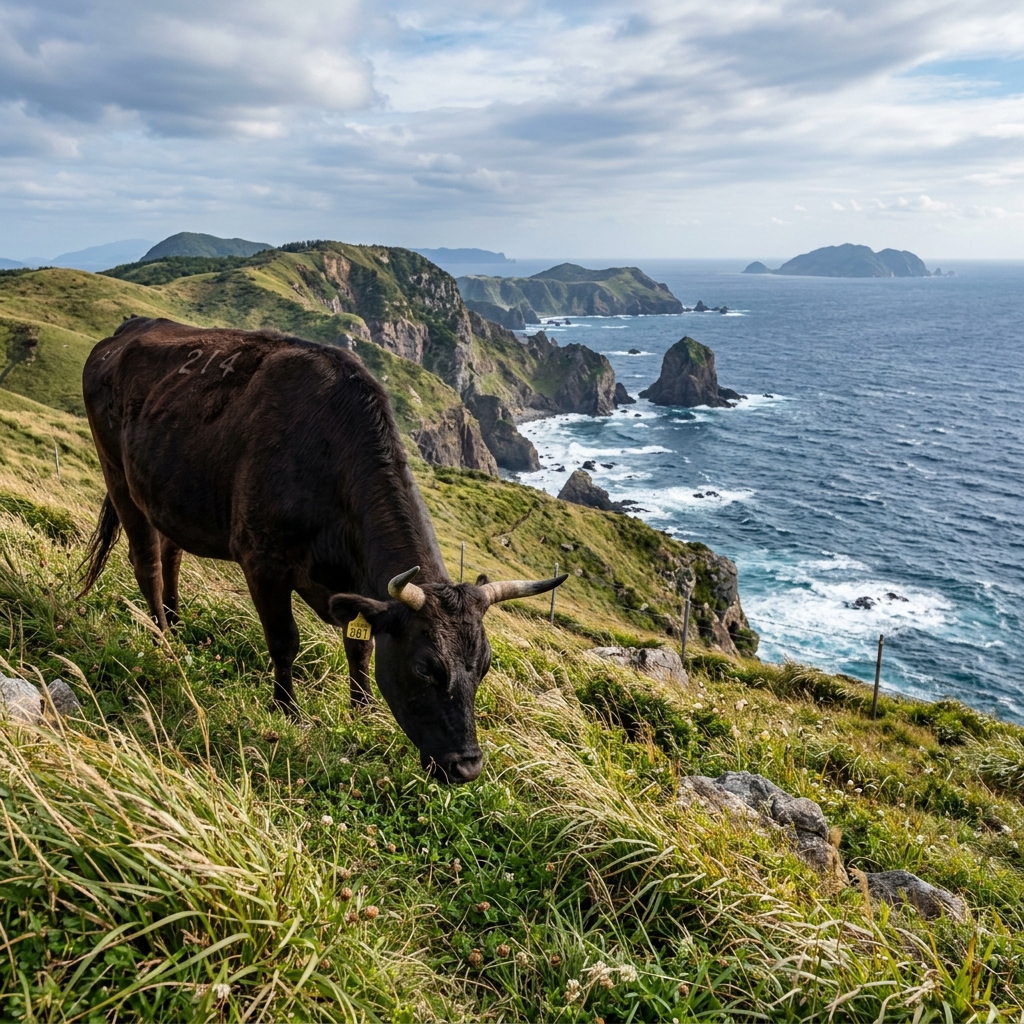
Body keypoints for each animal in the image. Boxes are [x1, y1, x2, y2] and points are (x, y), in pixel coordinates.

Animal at [79, 317, 565, 783]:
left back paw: (177, 624)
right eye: (426, 668)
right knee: (146, 562)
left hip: (167, 493)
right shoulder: (262, 562)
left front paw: (363, 710)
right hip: (117, 476)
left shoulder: (356, 590)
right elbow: (284, 641)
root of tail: (128, 328)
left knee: (171, 553)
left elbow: (360, 649)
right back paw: (163, 638)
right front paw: (288, 711)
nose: (467, 767)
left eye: (483, 667)